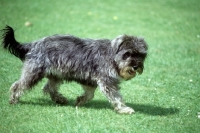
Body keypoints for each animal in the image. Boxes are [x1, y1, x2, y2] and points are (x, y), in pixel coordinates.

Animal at [0, 25, 148, 114]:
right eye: (127, 54)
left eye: (140, 54)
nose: (136, 66)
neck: (112, 56)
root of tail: (33, 45)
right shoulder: (107, 82)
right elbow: (116, 97)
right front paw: (124, 109)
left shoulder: (90, 80)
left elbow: (90, 95)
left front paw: (79, 101)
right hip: (33, 73)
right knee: (18, 85)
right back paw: (13, 99)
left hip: (56, 75)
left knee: (48, 88)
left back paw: (60, 99)